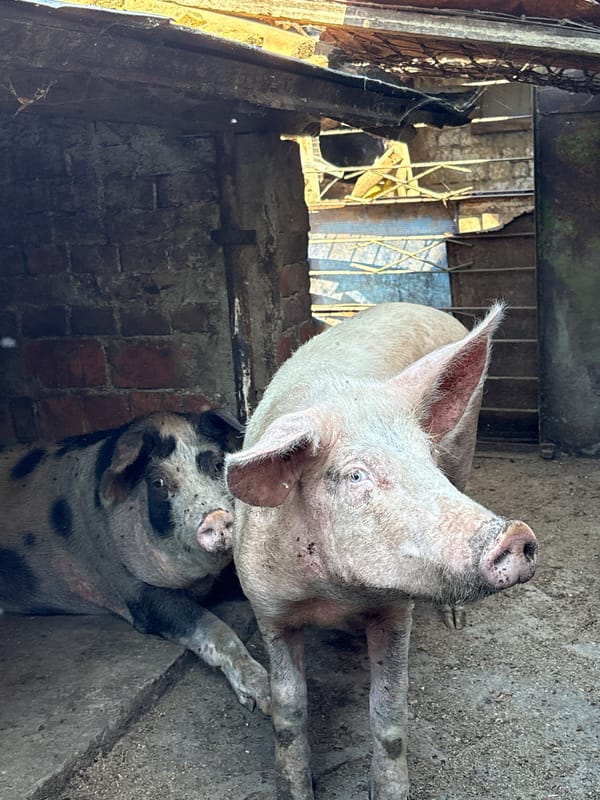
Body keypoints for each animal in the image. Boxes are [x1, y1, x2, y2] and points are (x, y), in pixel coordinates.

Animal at [0, 410, 269, 714]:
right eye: (158, 484)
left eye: (216, 463)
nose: (216, 517)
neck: (198, 582)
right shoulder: (132, 589)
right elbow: (210, 625)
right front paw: (265, 697)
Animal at [225, 302, 538, 800]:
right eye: (356, 476)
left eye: (426, 462)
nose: (515, 534)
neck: (333, 595)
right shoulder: (267, 608)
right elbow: (289, 709)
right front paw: (295, 788)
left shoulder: (396, 611)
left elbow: (388, 711)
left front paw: (389, 791)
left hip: (465, 447)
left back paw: (455, 620)